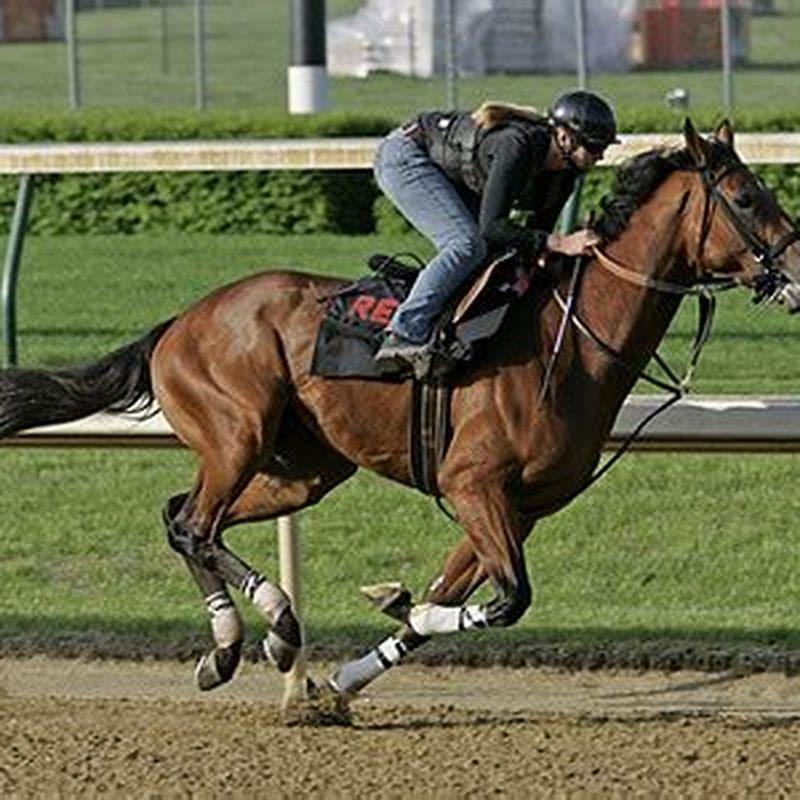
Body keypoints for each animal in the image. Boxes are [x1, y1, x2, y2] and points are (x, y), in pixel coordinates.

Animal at [1, 119, 800, 708]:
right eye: (747, 197)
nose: (795, 268)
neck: (570, 338)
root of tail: (178, 322)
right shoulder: (473, 484)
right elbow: (507, 599)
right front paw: (389, 603)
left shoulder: (522, 506)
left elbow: (458, 595)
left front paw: (345, 677)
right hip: (238, 435)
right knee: (196, 523)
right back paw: (274, 622)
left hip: (304, 468)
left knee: (181, 517)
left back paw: (227, 650)